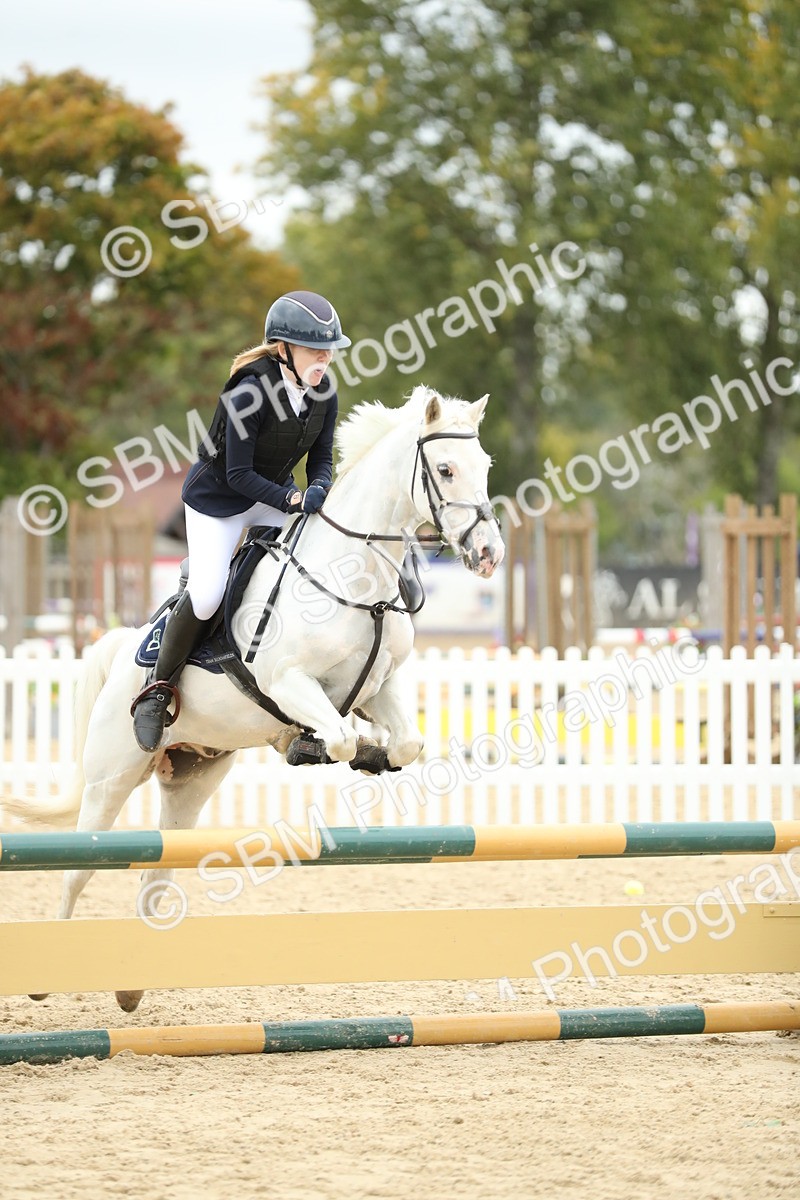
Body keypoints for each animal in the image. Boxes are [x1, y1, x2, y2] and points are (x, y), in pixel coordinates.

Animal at [4, 385, 504, 1011]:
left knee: (156, 875)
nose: (488, 553)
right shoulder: (287, 680)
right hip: (111, 776)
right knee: (79, 867)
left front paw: (370, 754)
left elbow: (406, 743)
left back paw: (130, 989)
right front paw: (312, 746)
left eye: (485, 466)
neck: (356, 580)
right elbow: (338, 735)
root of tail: (120, 650)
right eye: (445, 469)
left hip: (191, 781)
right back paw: (49, 978)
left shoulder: (380, 685)